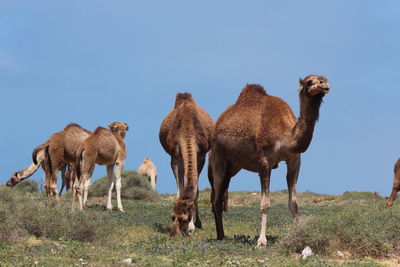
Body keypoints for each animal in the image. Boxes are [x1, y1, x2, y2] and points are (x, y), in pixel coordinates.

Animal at [159, 93, 216, 238]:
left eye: (184, 218)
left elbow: (196, 191)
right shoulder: (176, 157)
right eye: (172, 216)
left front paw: (192, 227)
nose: (173, 234)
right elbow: (180, 190)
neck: (187, 132)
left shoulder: (201, 156)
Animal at [209, 75, 332, 247]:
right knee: (216, 198)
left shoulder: (294, 160)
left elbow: (293, 203)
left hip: (232, 166)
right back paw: (221, 237)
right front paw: (261, 241)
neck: (287, 137)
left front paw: (301, 236)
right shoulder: (264, 162)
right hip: (218, 158)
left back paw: (222, 235)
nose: (324, 84)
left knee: (219, 196)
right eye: (309, 81)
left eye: (324, 79)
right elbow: (265, 204)